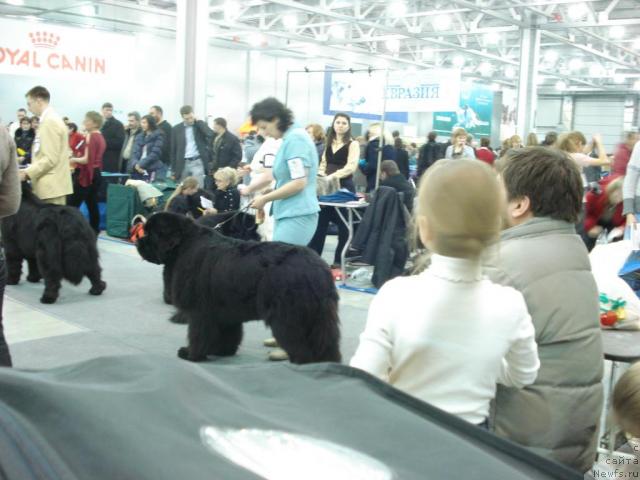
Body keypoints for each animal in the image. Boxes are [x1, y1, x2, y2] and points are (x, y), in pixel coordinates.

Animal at [138, 214, 342, 364]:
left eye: (150, 234)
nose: (139, 241)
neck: (183, 245)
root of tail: (319, 268)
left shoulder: (200, 311)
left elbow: (198, 334)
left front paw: (191, 354)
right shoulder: (224, 312)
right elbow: (227, 333)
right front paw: (222, 351)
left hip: (291, 316)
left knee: (302, 344)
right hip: (319, 318)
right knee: (325, 343)